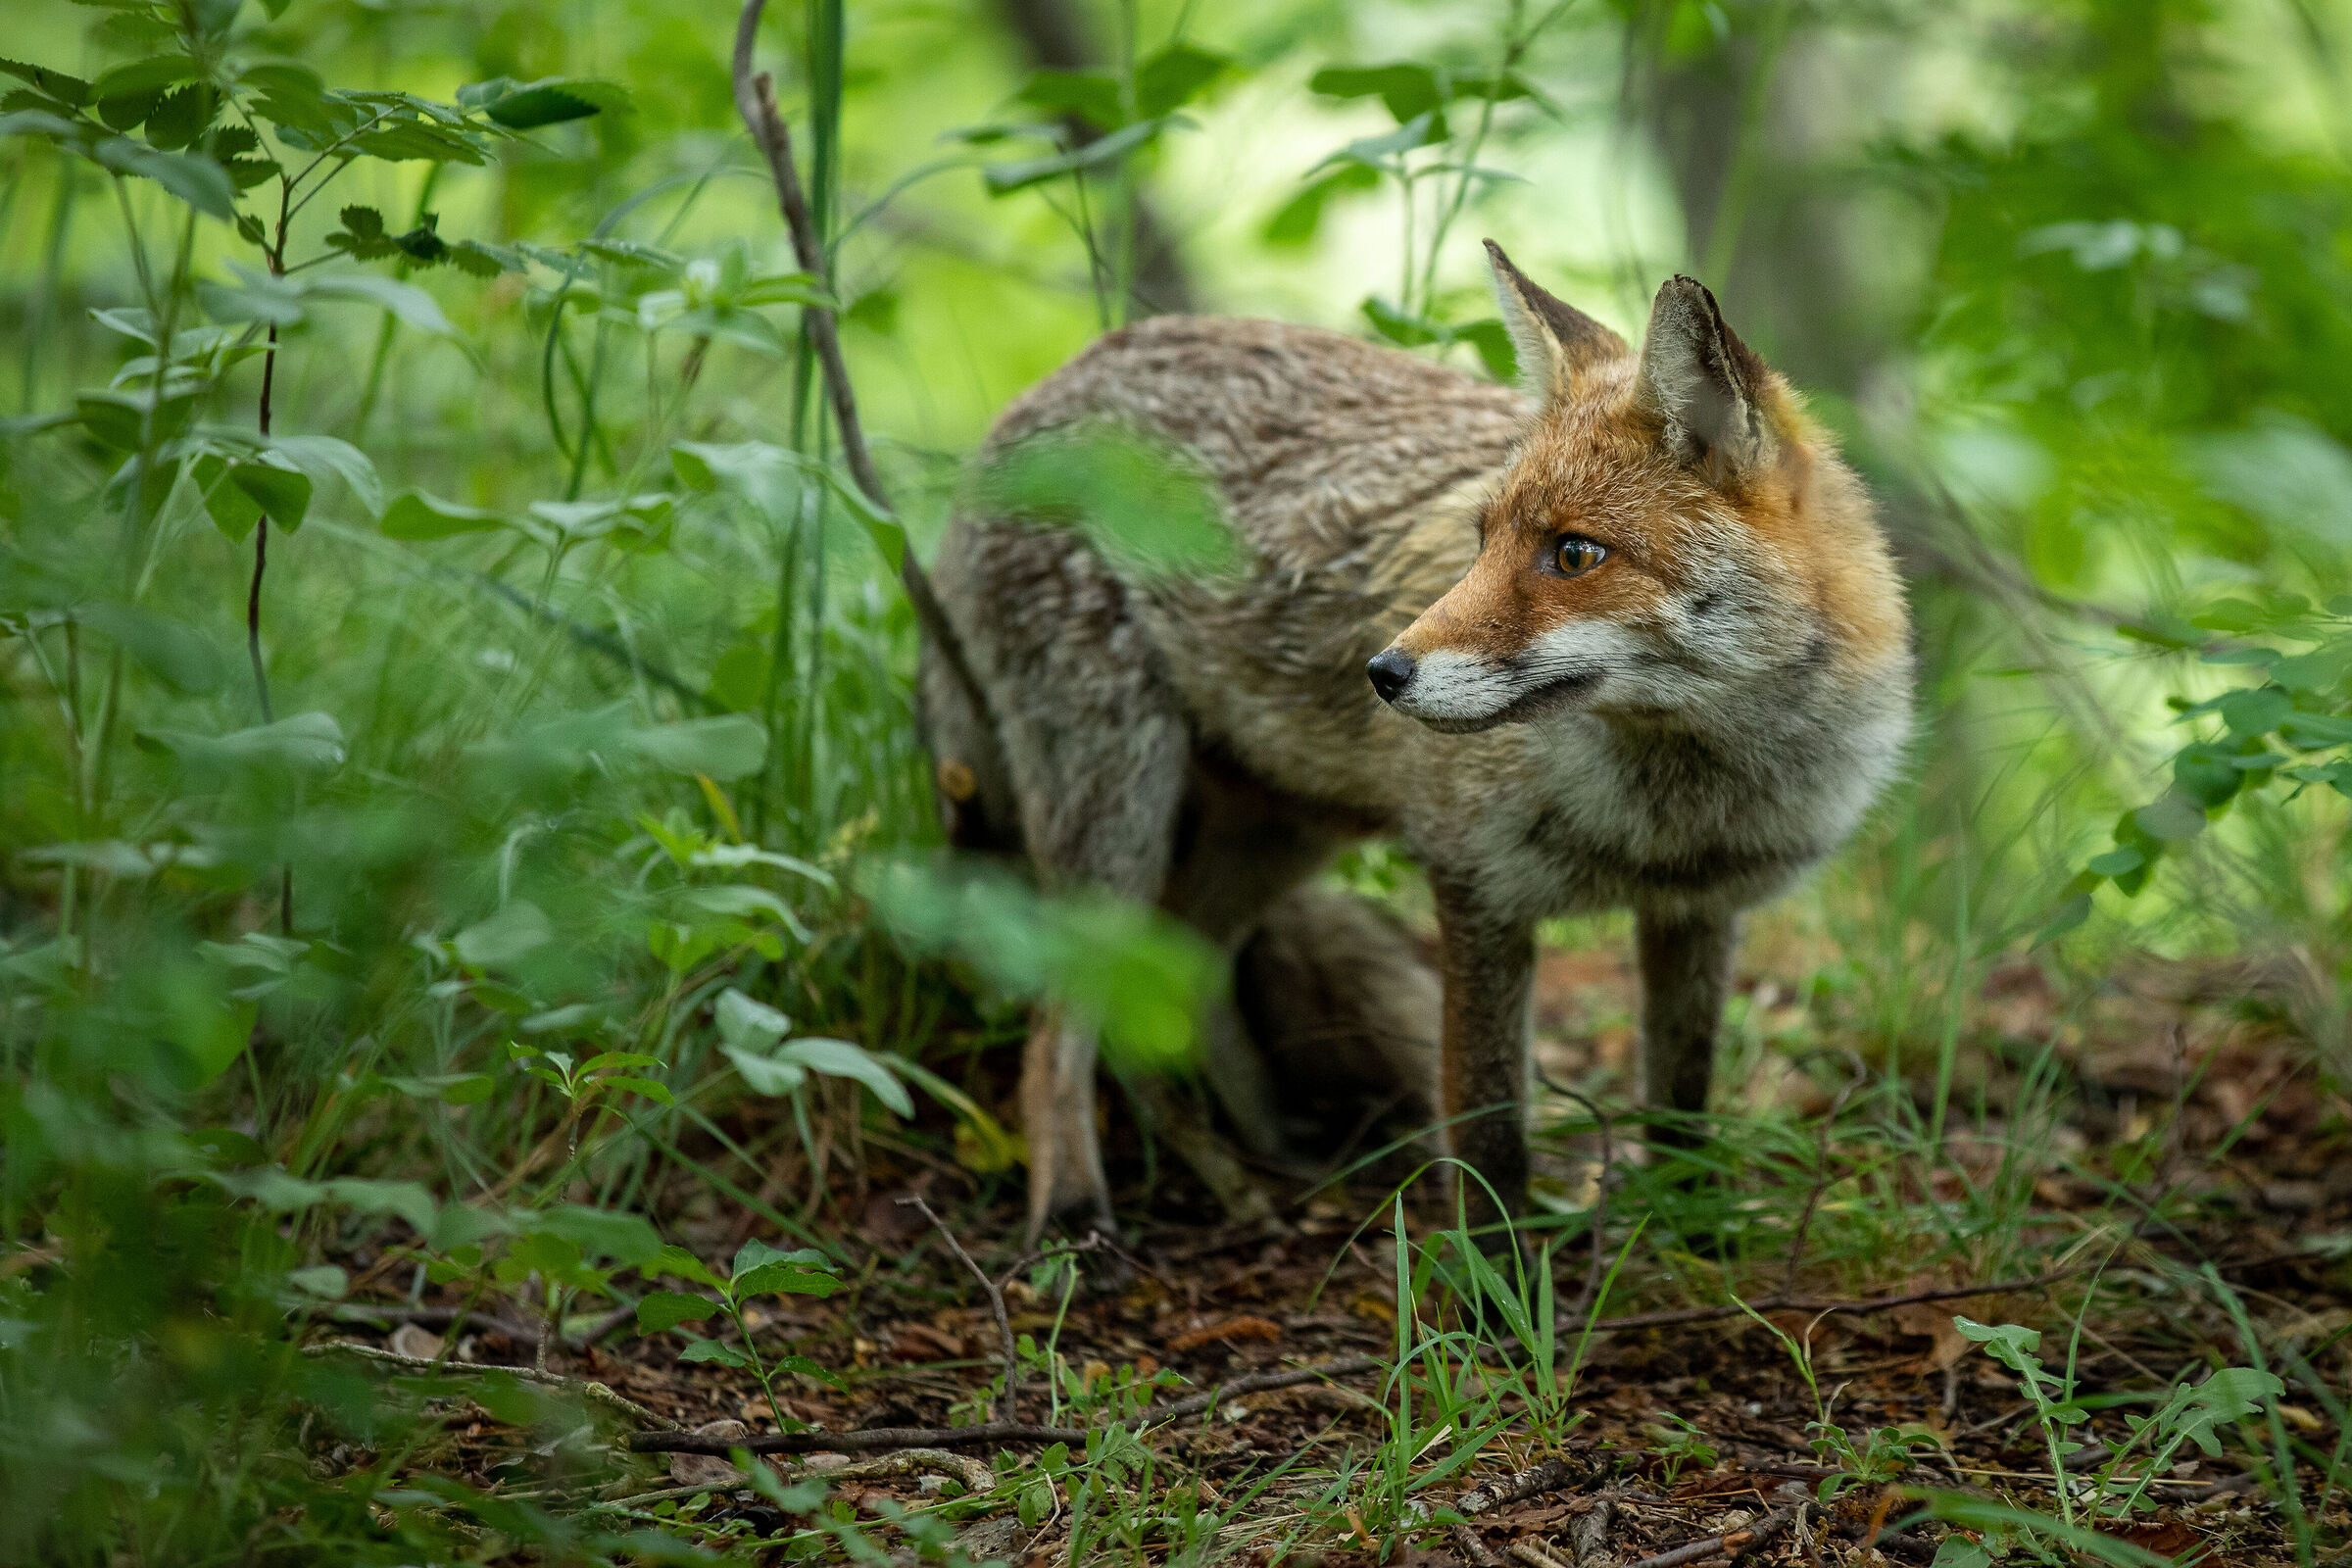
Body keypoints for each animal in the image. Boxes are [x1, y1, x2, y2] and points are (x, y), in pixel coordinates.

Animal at [918, 243, 1911, 1243]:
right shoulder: (1478, 886)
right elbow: (1487, 1126)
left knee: (1185, 970)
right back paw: (1073, 1211)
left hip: (1277, 833)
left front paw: (1693, 1236)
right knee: (1057, 1027)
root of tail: (1046, 388)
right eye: (1481, 541)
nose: (1382, 671)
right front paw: (1493, 1270)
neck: (1674, 810)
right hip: (1116, 816)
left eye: (1575, 554)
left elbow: (1682, 1108)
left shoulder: (1701, 910)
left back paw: (1265, 1153)